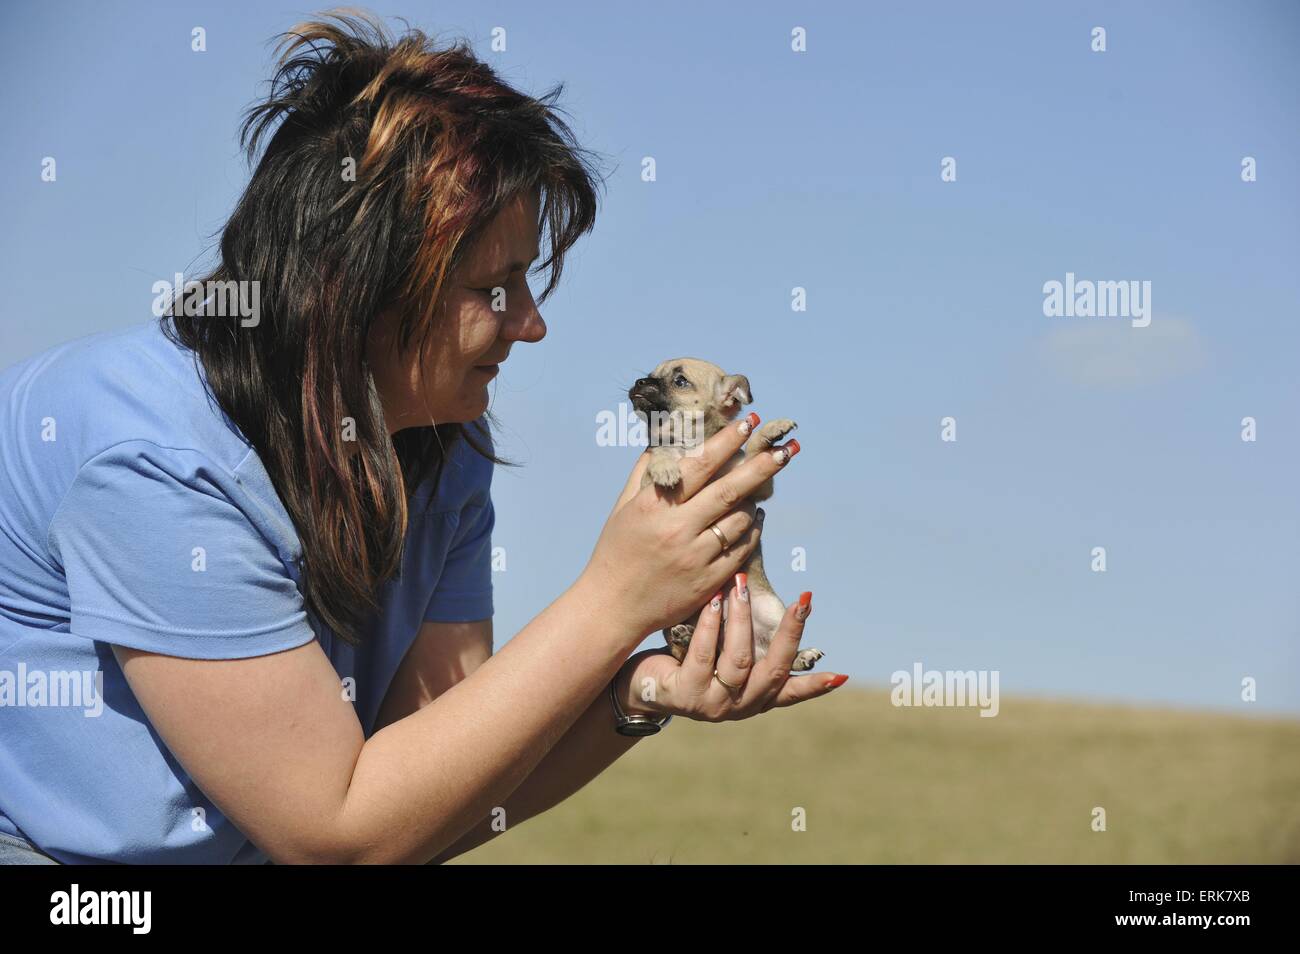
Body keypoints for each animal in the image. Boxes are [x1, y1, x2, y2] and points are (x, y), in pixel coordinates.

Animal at [626, 361, 821, 681]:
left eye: (680, 381)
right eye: (651, 375)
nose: (640, 382)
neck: (692, 444)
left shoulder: (758, 486)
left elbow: (752, 452)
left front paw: (769, 431)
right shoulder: (645, 489)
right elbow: (661, 449)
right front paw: (666, 466)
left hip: (771, 608)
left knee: (779, 646)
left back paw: (802, 655)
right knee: (687, 652)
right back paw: (686, 637)